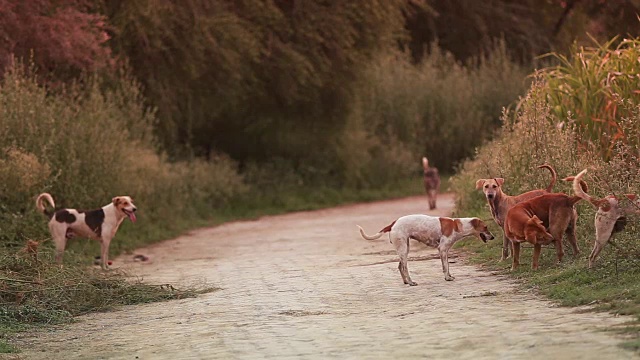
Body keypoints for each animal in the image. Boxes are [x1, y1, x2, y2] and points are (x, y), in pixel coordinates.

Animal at [356, 214, 496, 286]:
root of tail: (393, 223)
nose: (493, 237)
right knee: (404, 268)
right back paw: (411, 282)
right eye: (486, 227)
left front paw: (449, 276)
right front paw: (447, 278)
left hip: (404, 249)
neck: (458, 226)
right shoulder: (442, 249)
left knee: (400, 267)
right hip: (404, 250)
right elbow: (445, 267)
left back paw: (406, 281)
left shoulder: (445, 251)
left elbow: (447, 266)